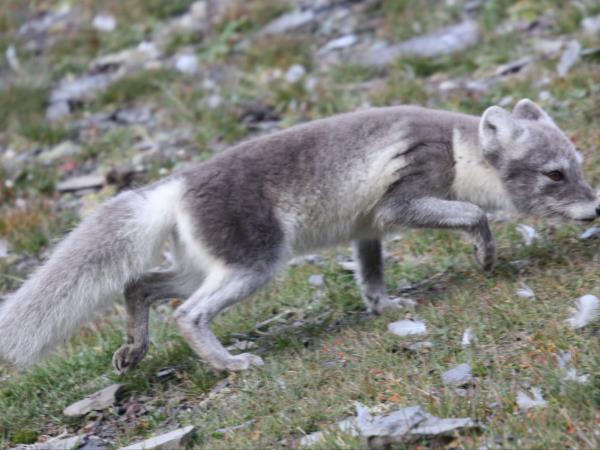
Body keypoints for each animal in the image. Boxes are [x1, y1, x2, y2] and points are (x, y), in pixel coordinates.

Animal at [1, 101, 600, 372]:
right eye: (555, 175)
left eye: (576, 165)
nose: (596, 208)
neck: (459, 149)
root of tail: (173, 187)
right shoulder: (402, 199)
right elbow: (475, 215)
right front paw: (485, 256)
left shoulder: (367, 228)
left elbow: (371, 277)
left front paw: (385, 307)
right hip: (254, 264)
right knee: (187, 313)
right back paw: (229, 365)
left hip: (203, 265)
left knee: (139, 285)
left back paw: (133, 349)